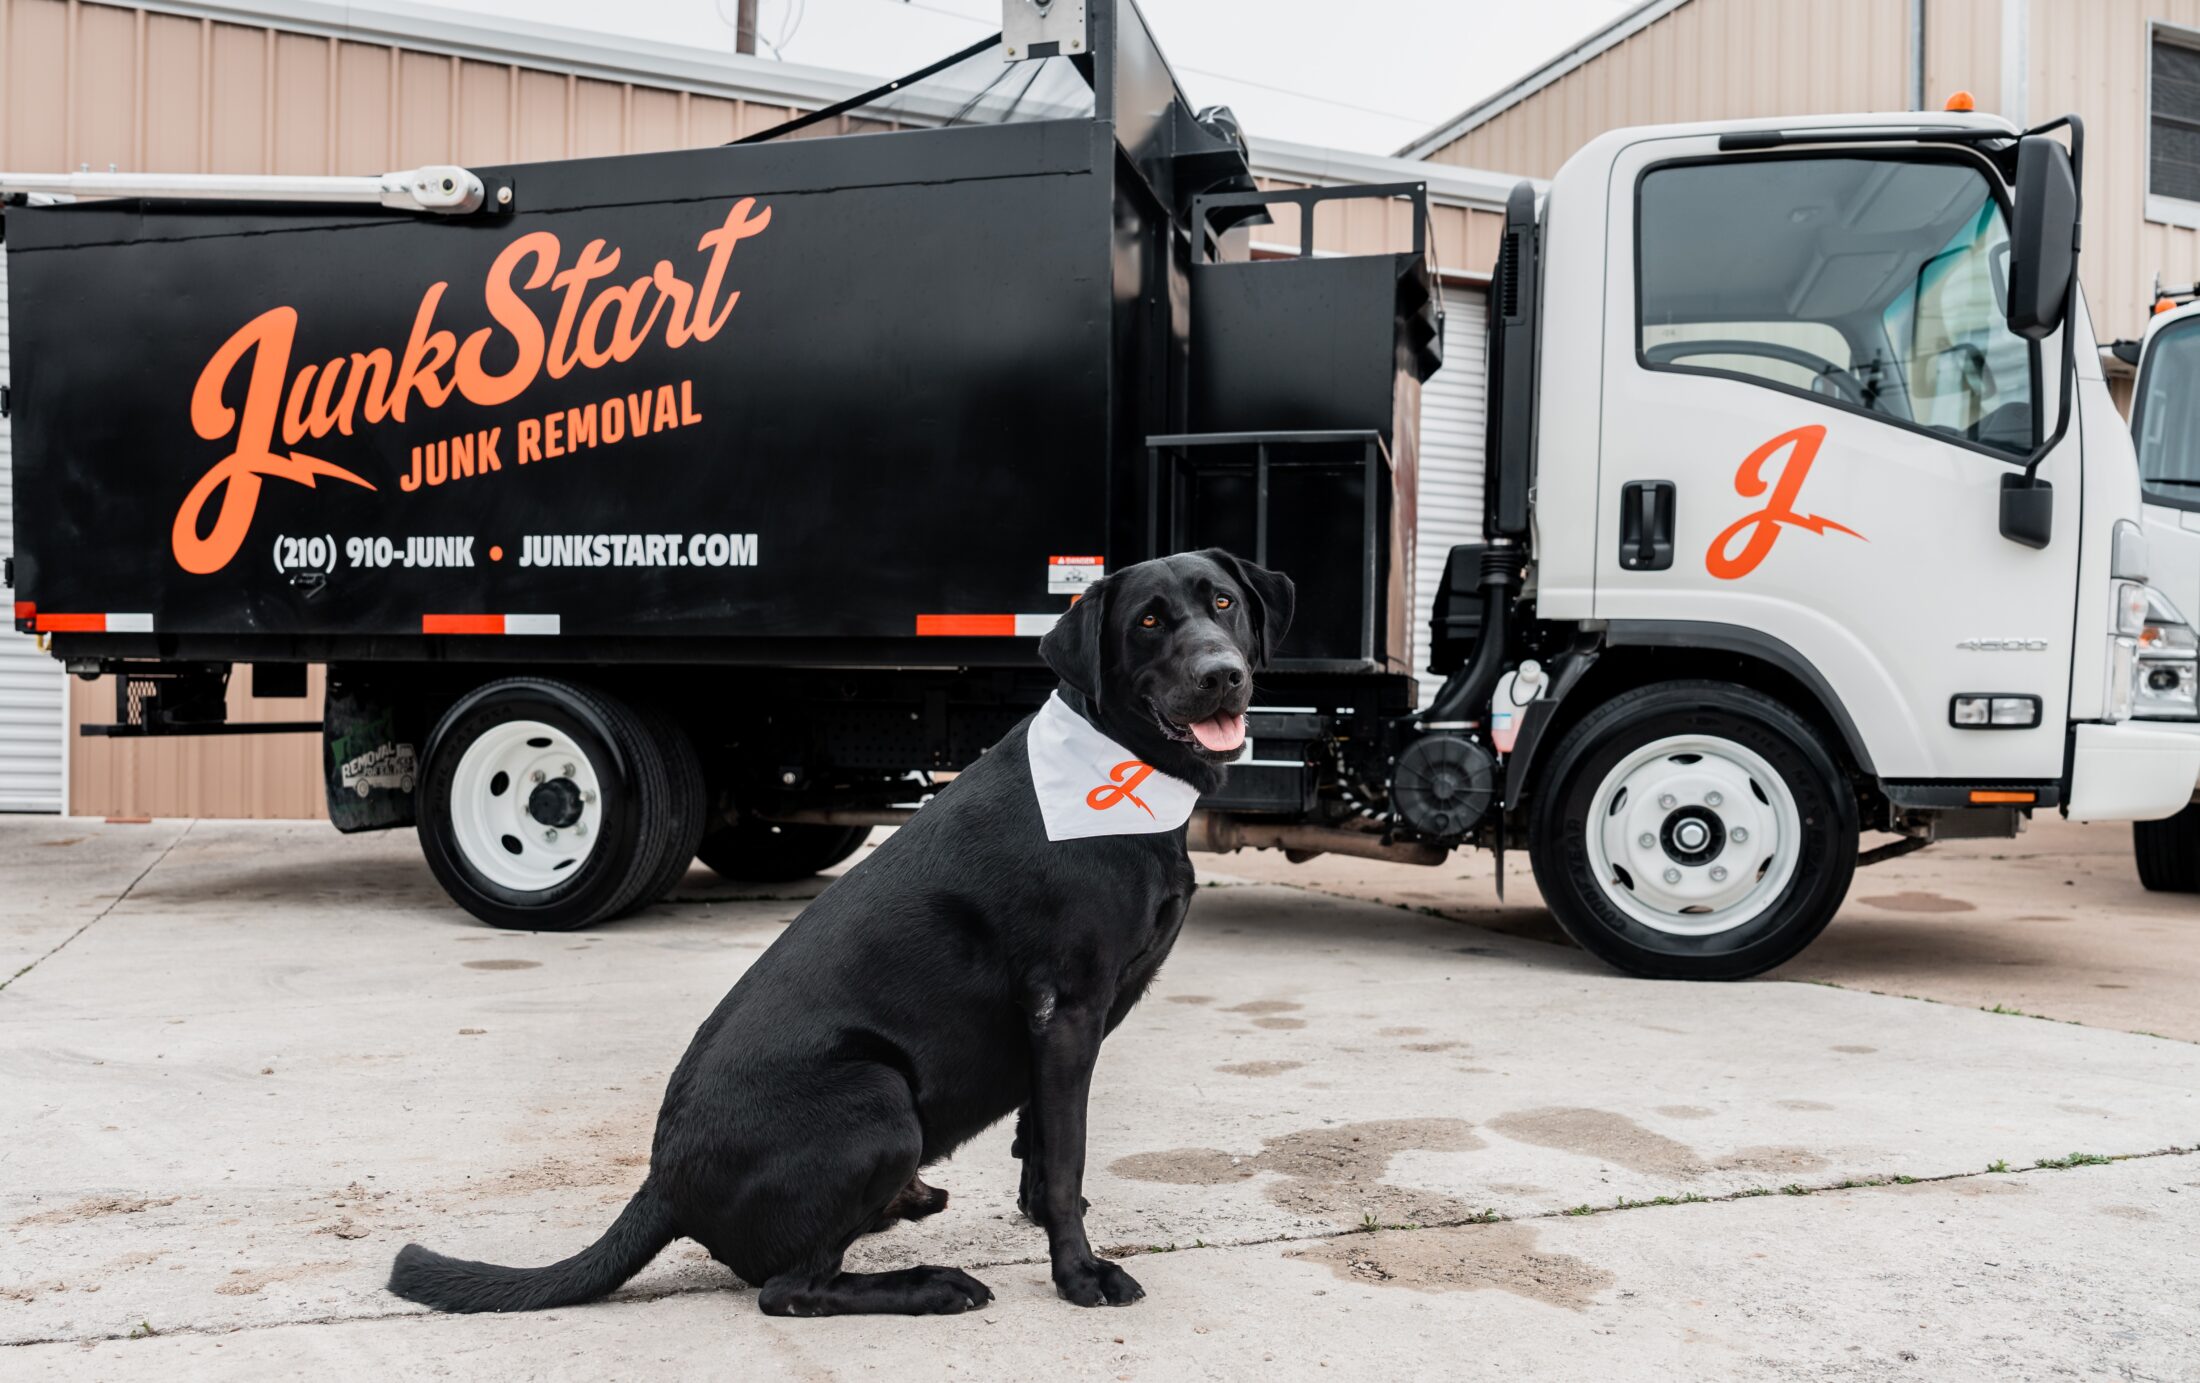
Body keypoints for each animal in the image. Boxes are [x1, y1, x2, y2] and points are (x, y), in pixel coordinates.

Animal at [389, 547, 1293, 1319]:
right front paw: (1079, 1274)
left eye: (1222, 603)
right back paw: (931, 1284)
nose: (1223, 674)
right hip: (879, 1099)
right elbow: (1065, 1156)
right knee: (788, 1287)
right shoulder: (1067, 1007)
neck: (1116, 766)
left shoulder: (1061, 1024)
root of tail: (665, 1183)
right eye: (1148, 621)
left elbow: (1043, 1146)